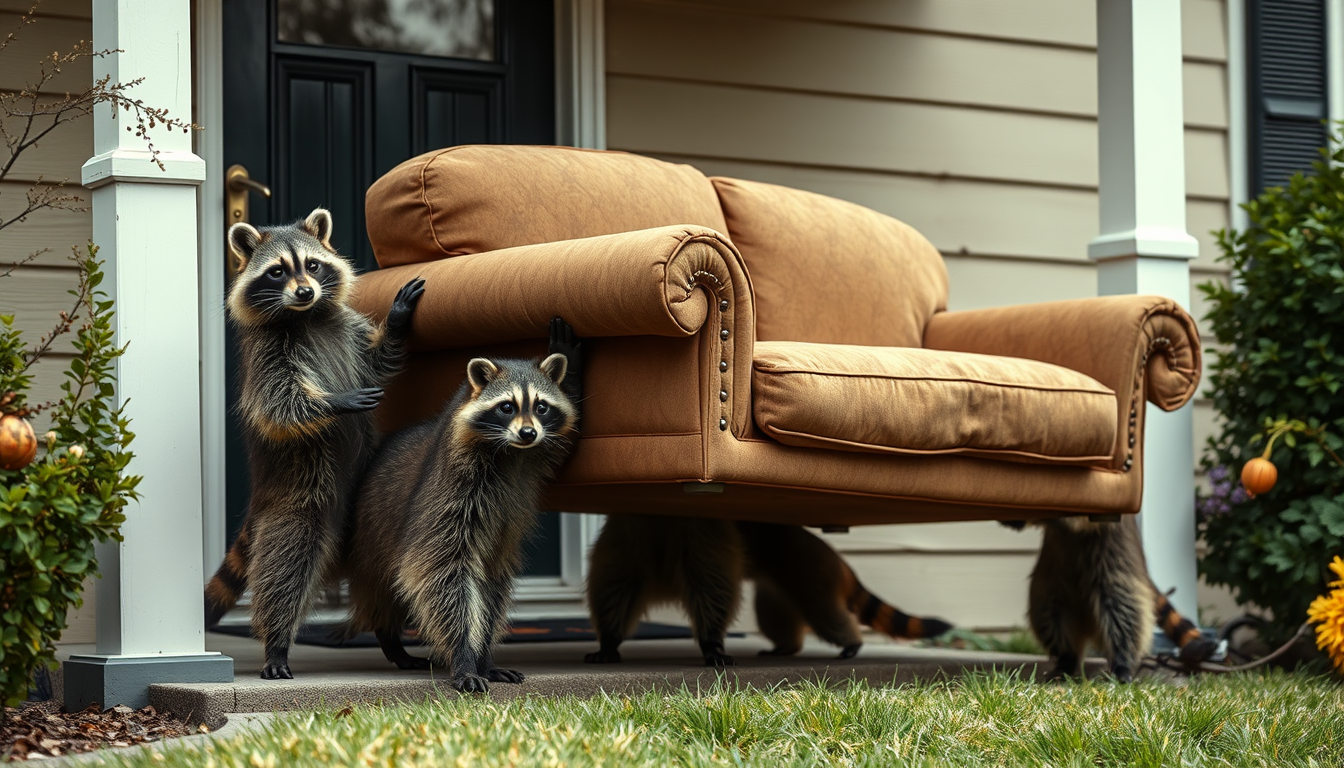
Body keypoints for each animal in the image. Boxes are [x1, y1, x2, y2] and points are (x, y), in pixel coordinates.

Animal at [203, 208, 425, 680]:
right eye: (277, 271)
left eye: (312, 265)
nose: (305, 291)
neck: (304, 315)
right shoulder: (266, 355)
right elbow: (280, 406)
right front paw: (334, 402)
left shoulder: (350, 330)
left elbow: (377, 360)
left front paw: (397, 320)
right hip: (299, 499)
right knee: (285, 567)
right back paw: (277, 643)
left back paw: (390, 637)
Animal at [343, 318, 582, 693]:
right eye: (507, 407)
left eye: (541, 406)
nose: (528, 433)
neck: (510, 452)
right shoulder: (449, 493)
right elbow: (441, 574)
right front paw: (465, 656)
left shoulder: (539, 454)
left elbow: (489, 592)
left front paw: (483, 657)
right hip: (373, 538)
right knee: (384, 592)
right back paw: (390, 638)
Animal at [584, 517, 954, 666]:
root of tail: (835, 559)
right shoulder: (629, 539)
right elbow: (615, 589)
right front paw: (610, 639)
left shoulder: (702, 534)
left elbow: (712, 588)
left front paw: (711, 642)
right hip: (783, 583)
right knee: (775, 615)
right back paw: (786, 646)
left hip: (807, 571)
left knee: (825, 613)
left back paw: (851, 642)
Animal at [1003, 516, 1217, 682]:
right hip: (1051, 581)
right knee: (1049, 614)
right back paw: (1066, 659)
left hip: (1114, 561)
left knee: (1123, 608)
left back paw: (1122, 663)